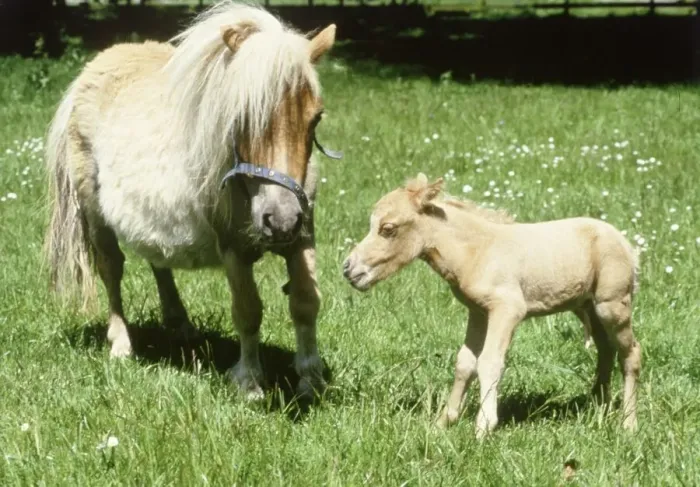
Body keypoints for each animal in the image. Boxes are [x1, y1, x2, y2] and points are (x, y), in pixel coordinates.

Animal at [43, 1, 342, 400]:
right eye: (242, 117)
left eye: (316, 118)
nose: (279, 219)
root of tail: (89, 73)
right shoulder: (233, 248)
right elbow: (248, 310)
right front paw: (250, 383)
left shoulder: (302, 236)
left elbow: (306, 303)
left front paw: (311, 381)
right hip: (95, 215)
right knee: (111, 269)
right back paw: (121, 344)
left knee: (158, 260)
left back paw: (180, 325)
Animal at [342, 173, 641, 438]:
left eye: (388, 229)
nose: (349, 269)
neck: (476, 251)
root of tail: (627, 245)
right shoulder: (477, 312)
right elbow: (465, 362)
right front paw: (444, 422)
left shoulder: (507, 309)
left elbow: (489, 361)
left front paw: (484, 427)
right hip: (587, 307)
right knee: (605, 350)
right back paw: (598, 407)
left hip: (611, 305)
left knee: (631, 353)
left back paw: (628, 423)